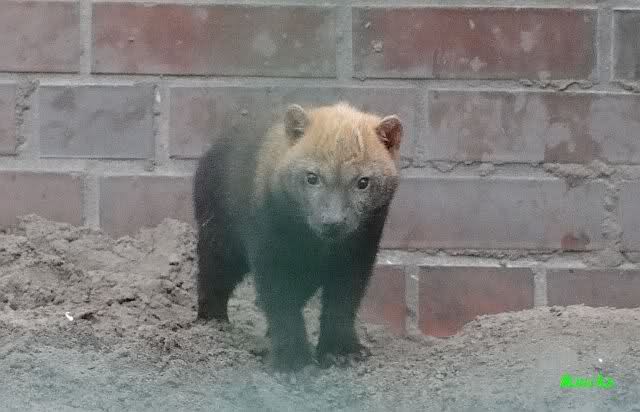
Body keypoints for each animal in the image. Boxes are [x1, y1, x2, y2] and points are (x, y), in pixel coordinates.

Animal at [192, 102, 403, 371]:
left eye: (363, 182)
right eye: (312, 177)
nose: (332, 222)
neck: (317, 245)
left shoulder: (359, 254)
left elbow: (343, 302)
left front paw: (340, 352)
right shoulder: (269, 251)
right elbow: (281, 303)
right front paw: (292, 362)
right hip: (219, 235)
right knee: (212, 274)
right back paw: (213, 323)